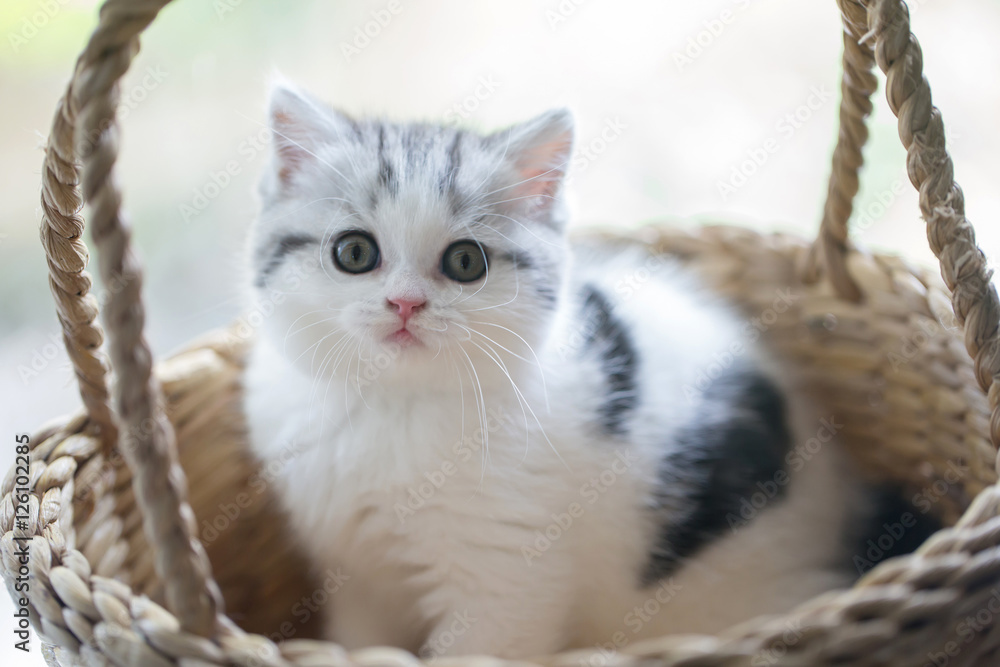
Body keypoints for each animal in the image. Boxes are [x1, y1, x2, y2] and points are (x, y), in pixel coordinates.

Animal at [242, 81, 936, 660]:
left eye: (466, 262)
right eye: (354, 252)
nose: (406, 304)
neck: (392, 403)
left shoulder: (507, 577)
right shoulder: (356, 573)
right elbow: (362, 638)